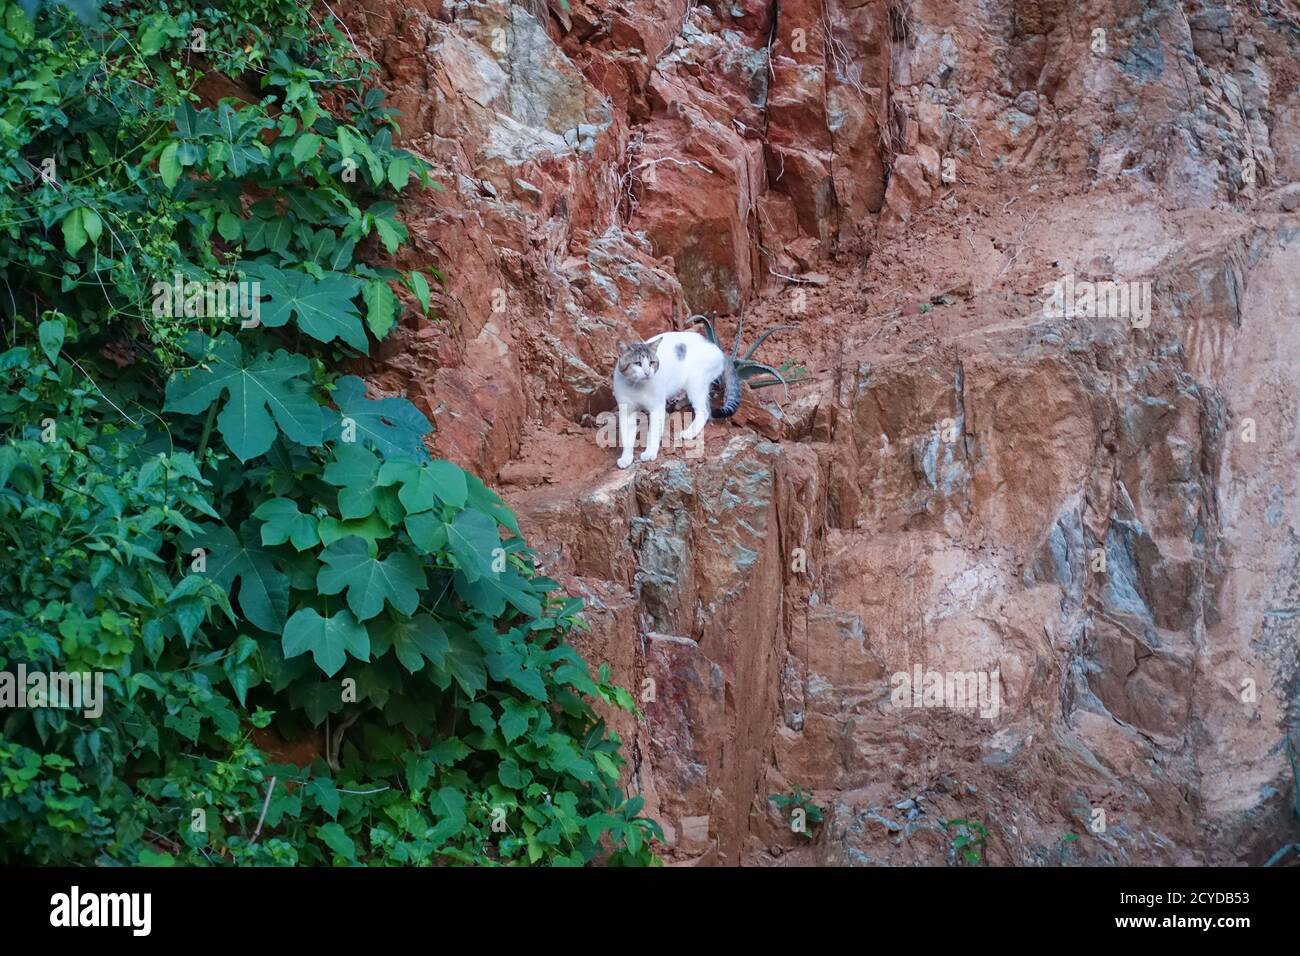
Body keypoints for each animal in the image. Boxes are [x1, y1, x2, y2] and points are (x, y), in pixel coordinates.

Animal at [611, 330, 738, 468]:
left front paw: (649, 453)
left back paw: (689, 432)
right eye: (638, 363)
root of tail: (719, 350)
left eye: (652, 363)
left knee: (705, 411)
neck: (636, 386)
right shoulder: (627, 411)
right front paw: (626, 458)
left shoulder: (657, 409)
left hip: (695, 383)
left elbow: (653, 433)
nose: (647, 372)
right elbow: (627, 438)